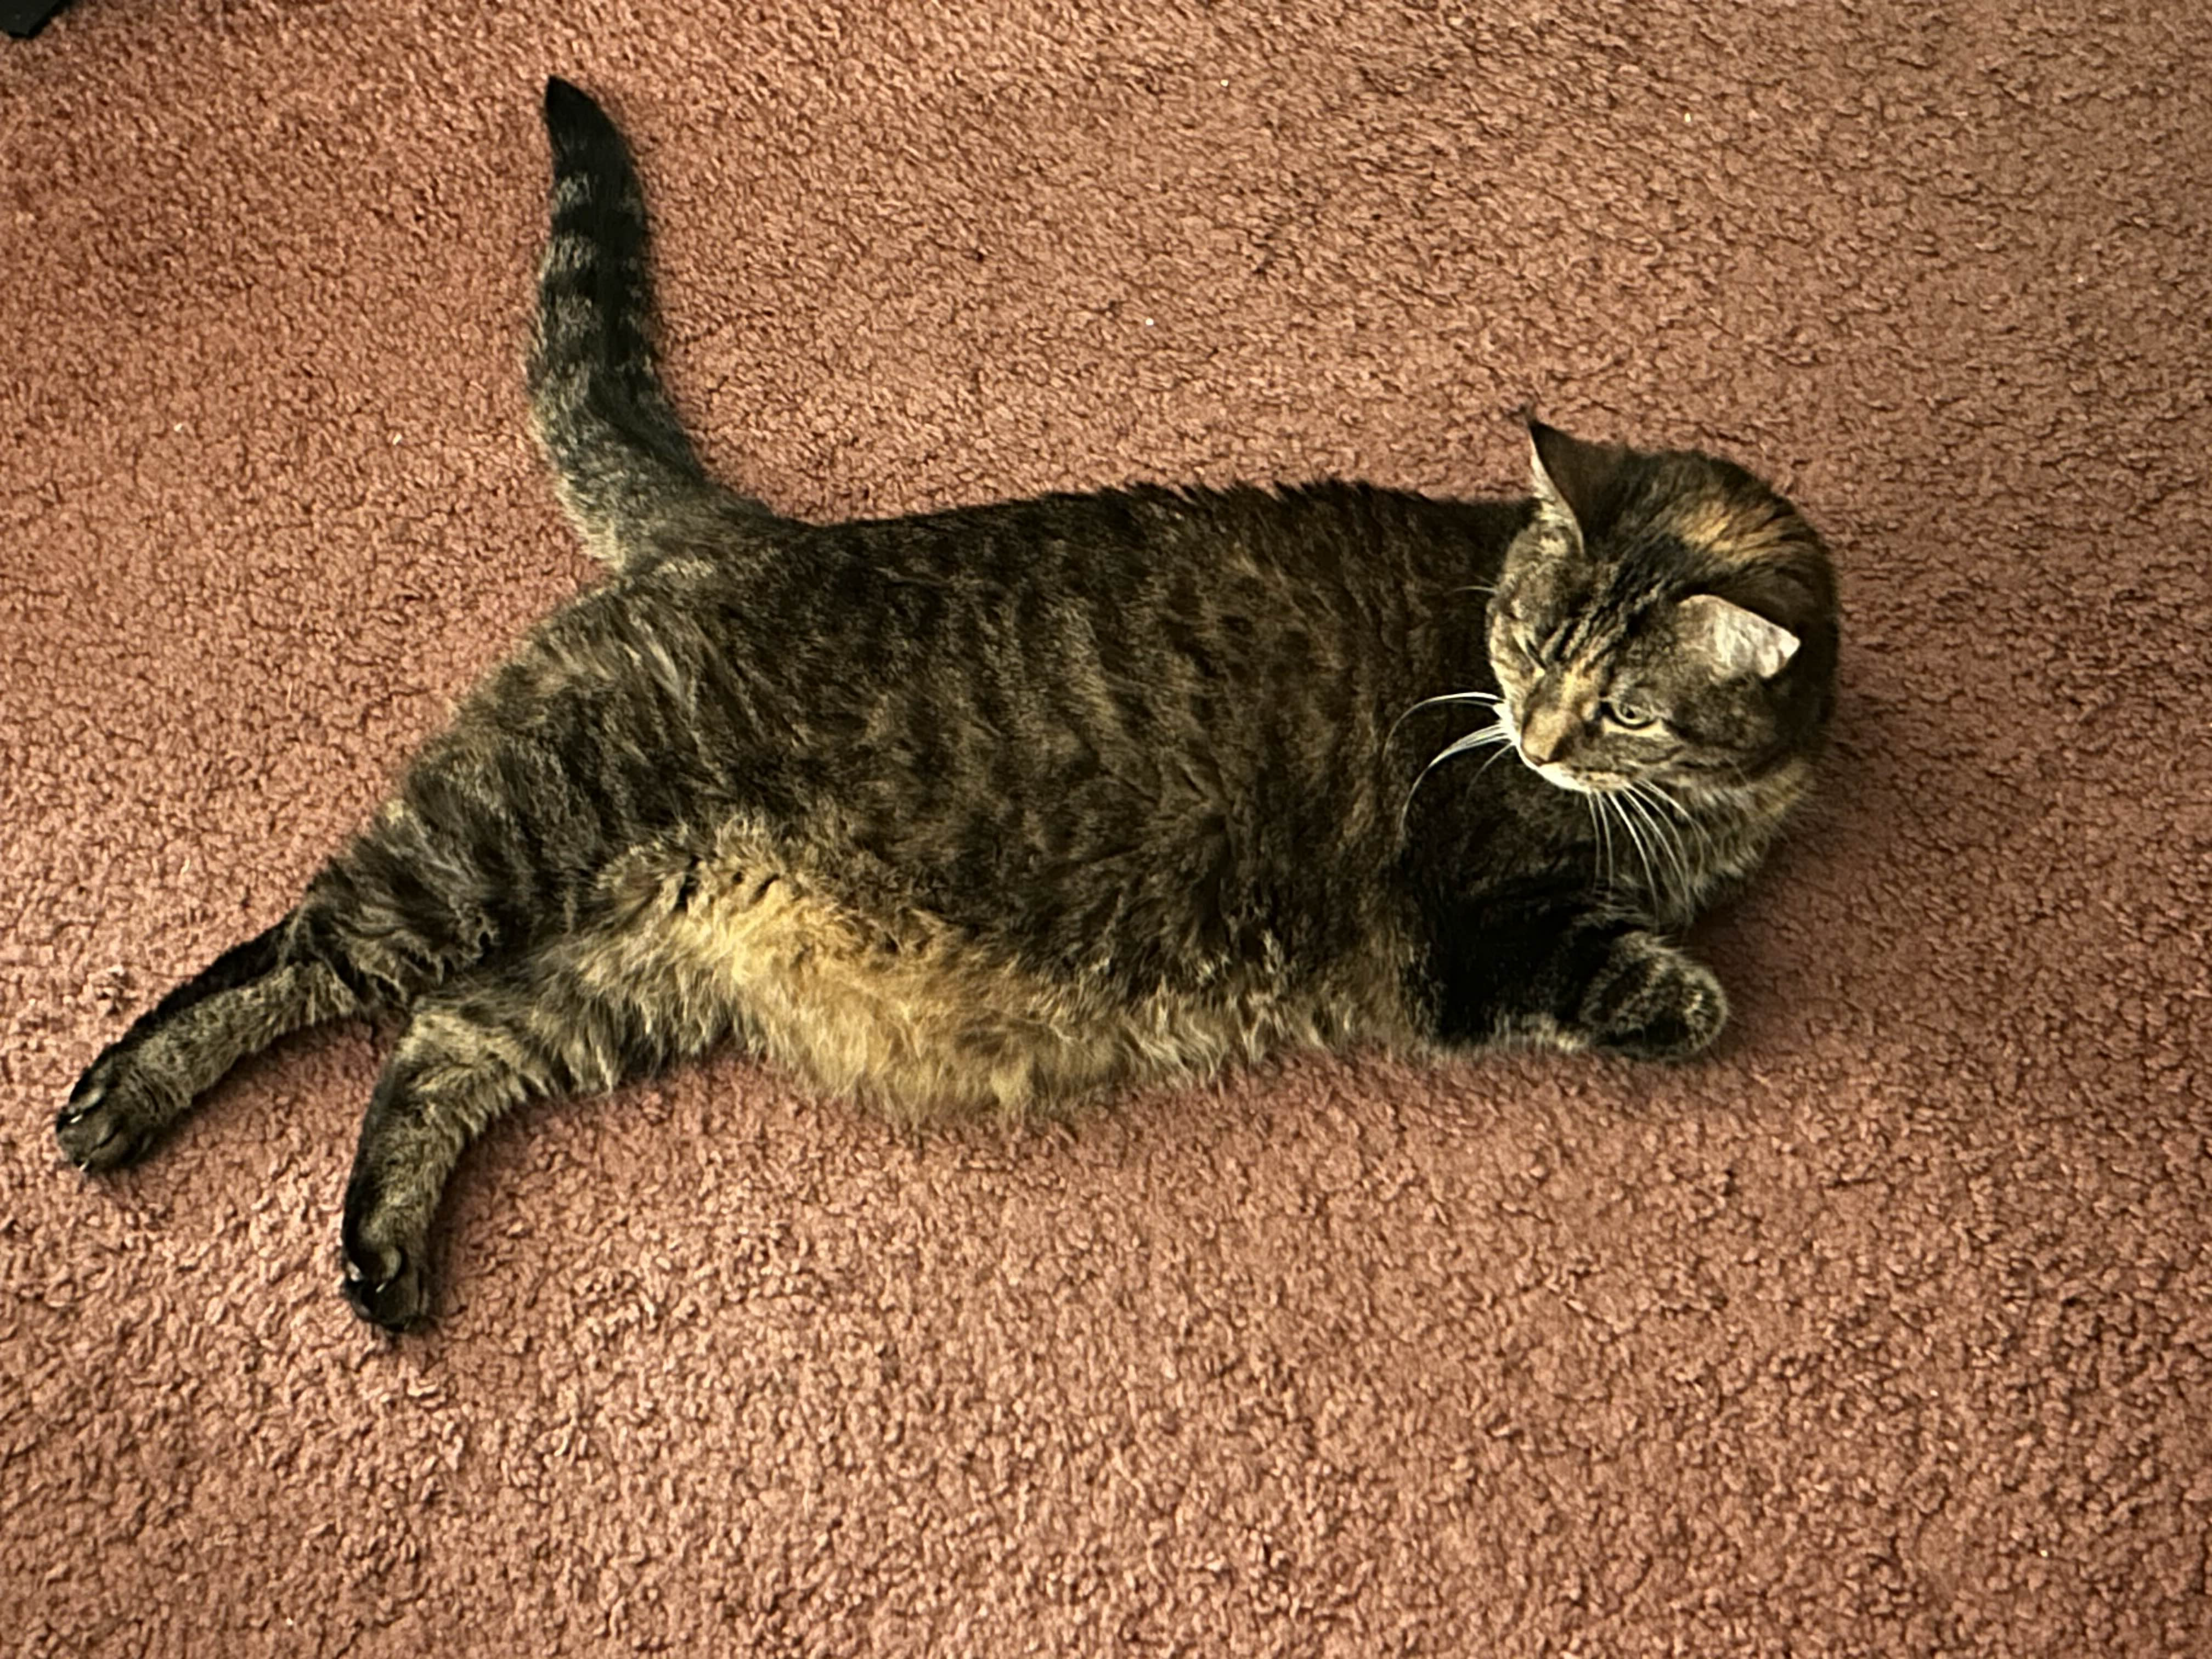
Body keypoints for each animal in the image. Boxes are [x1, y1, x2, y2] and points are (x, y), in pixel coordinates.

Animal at [60, 78, 1840, 1336]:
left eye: (1619, 706)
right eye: (1530, 642)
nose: (1530, 730)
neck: (1717, 809)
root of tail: (738, 536)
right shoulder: (1474, 932)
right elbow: (1637, 979)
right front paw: (1684, 991)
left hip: (622, 977)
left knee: (439, 1042)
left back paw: (381, 1259)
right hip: (494, 844)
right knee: (292, 960)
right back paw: (116, 1105)